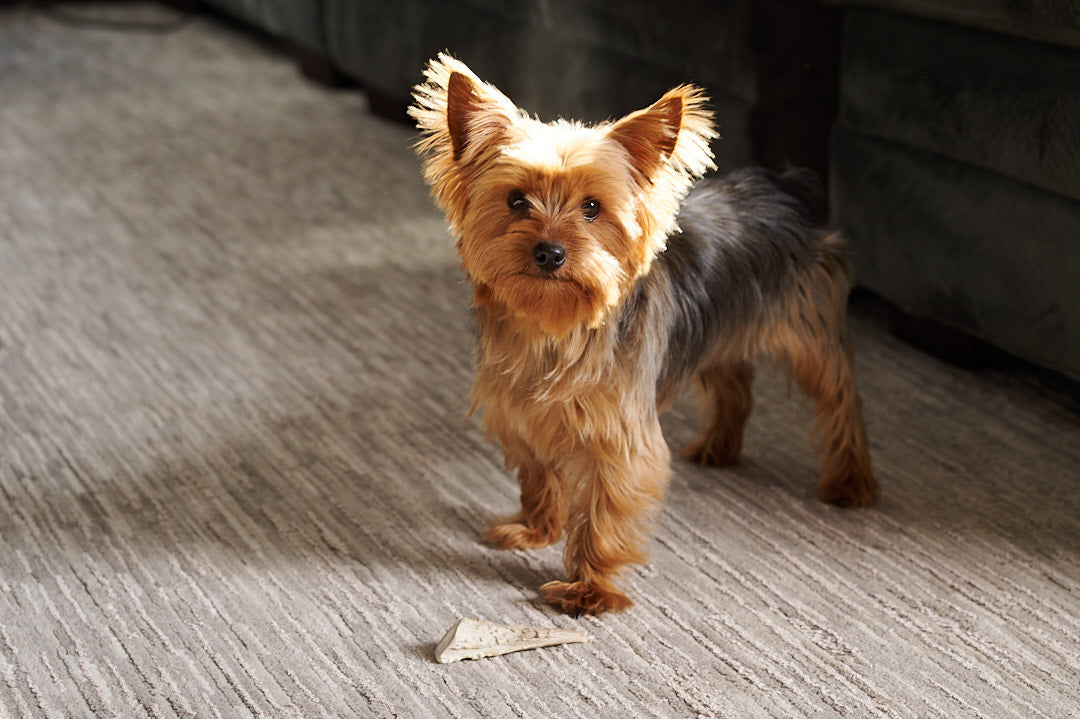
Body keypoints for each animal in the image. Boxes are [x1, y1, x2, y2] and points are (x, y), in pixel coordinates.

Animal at [408, 57, 872, 617]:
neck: (555, 328)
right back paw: (718, 446)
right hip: (719, 330)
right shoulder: (522, 413)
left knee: (839, 396)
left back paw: (849, 481)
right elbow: (538, 475)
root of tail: (784, 183)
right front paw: (535, 529)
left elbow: (603, 512)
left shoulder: (618, 434)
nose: (549, 253)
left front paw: (588, 589)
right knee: (733, 383)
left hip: (809, 329)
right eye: (516, 201)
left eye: (591, 208)